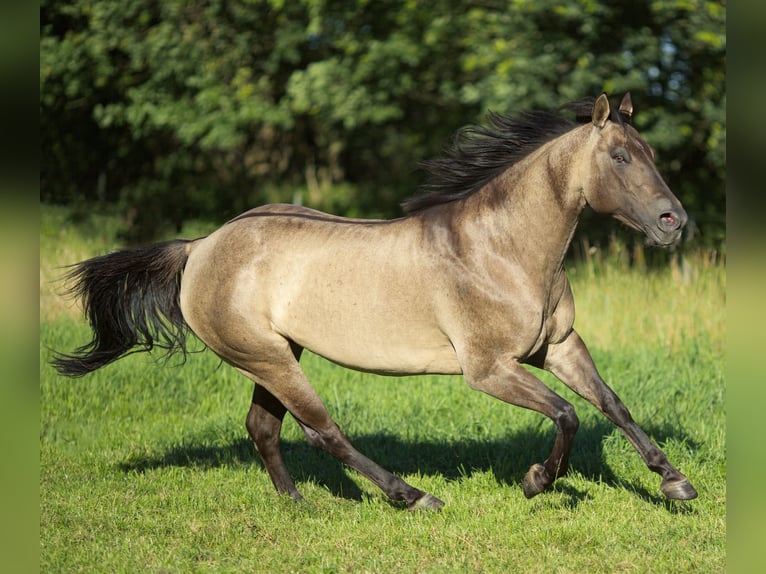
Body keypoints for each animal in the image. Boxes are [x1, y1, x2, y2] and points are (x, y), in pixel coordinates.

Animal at [51, 93, 698, 510]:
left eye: (653, 154)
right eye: (620, 157)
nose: (674, 223)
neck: (502, 250)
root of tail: (200, 247)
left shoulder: (558, 347)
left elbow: (612, 404)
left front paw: (674, 482)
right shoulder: (488, 369)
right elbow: (568, 414)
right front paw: (539, 481)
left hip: (276, 354)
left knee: (263, 428)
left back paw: (299, 505)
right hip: (267, 358)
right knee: (321, 432)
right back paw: (413, 496)